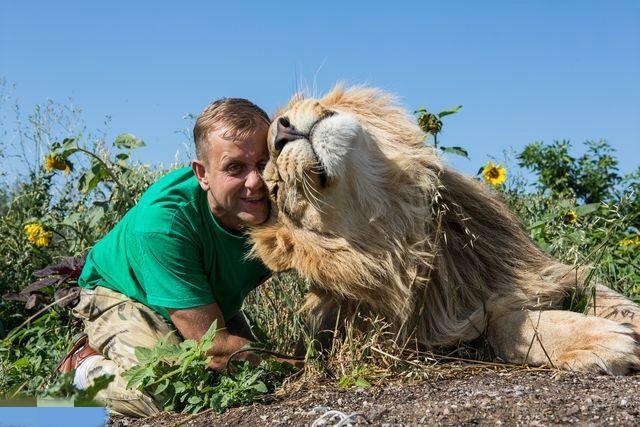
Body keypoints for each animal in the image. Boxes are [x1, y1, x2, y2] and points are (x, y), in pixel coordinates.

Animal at [249, 85, 640, 376]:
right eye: (277, 191)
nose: (281, 132)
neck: (405, 219)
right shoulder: (437, 333)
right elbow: (502, 326)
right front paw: (601, 340)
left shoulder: (543, 270)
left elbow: (613, 299)